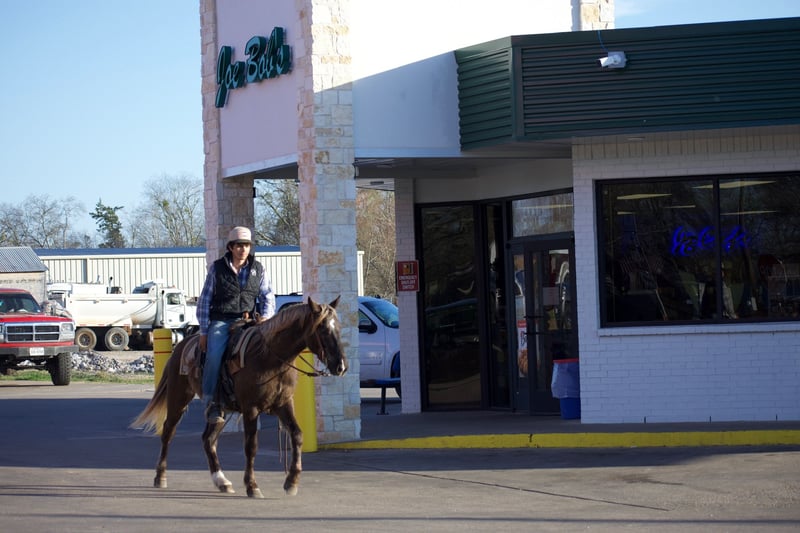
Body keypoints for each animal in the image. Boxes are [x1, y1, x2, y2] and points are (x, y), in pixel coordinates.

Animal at [131, 296, 347, 498]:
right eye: (323, 330)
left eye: (338, 328)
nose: (341, 366)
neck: (269, 358)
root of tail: (181, 345)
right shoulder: (251, 408)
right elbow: (251, 446)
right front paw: (252, 486)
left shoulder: (284, 404)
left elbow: (297, 435)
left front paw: (291, 482)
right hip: (178, 397)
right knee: (168, 432)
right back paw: (160, 476)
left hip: (221, 410)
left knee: (208, 439)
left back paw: (222, 481)